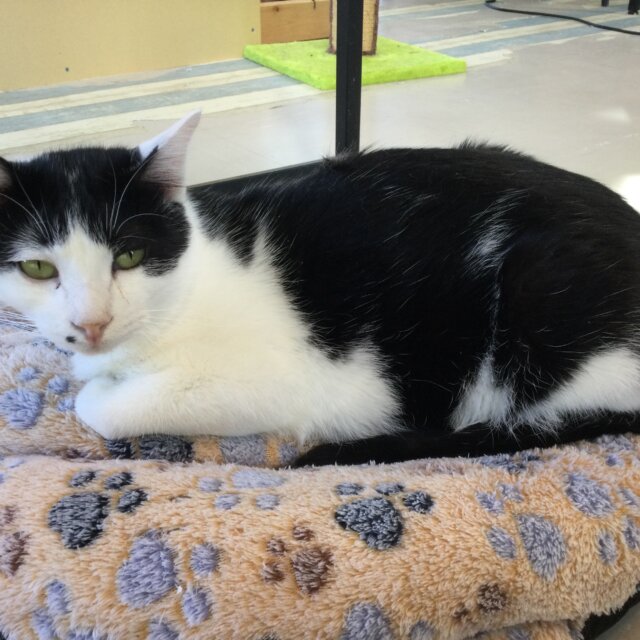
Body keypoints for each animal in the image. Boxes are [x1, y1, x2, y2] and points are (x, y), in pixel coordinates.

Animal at [1, 111, 639, 466]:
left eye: (129, 256)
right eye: (38, 269)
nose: (91, 323)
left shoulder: (283, 383)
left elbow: (102, 406)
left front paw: (99, 389)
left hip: (539, 306)